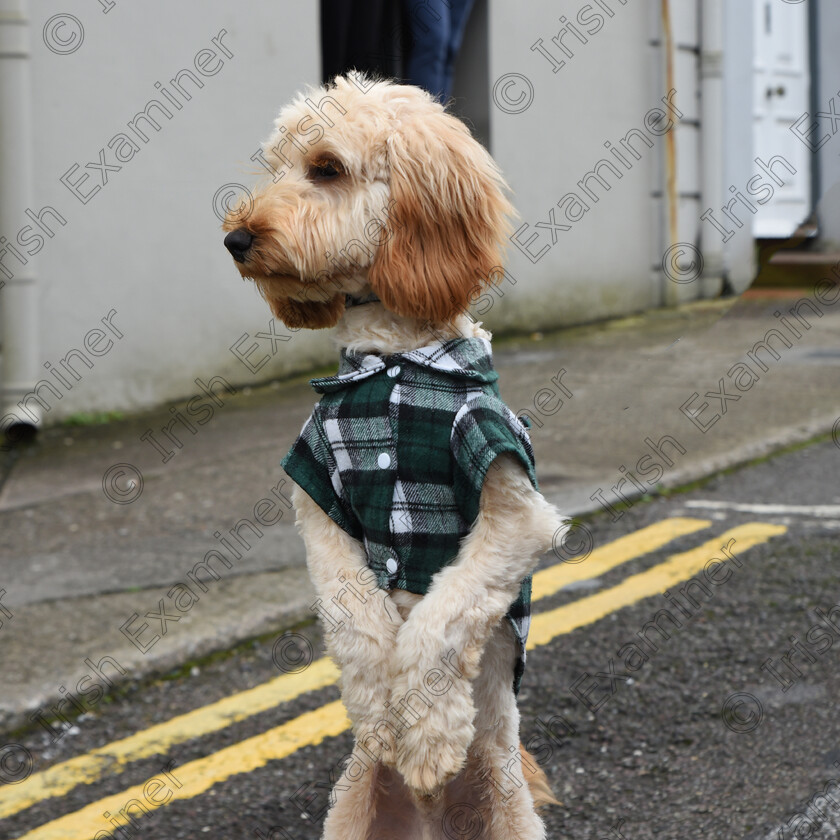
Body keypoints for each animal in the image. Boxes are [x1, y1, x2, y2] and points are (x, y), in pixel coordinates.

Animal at [223, 74, 564, 840]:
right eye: (275, 167)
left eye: (326, 168)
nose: (236, 237)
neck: (391, 365)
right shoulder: (319, 499)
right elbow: (356, 619)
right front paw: (381, 716)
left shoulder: (515, 512)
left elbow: (444, 617)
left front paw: (429, 735)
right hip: (352, 813)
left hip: (508, 807)